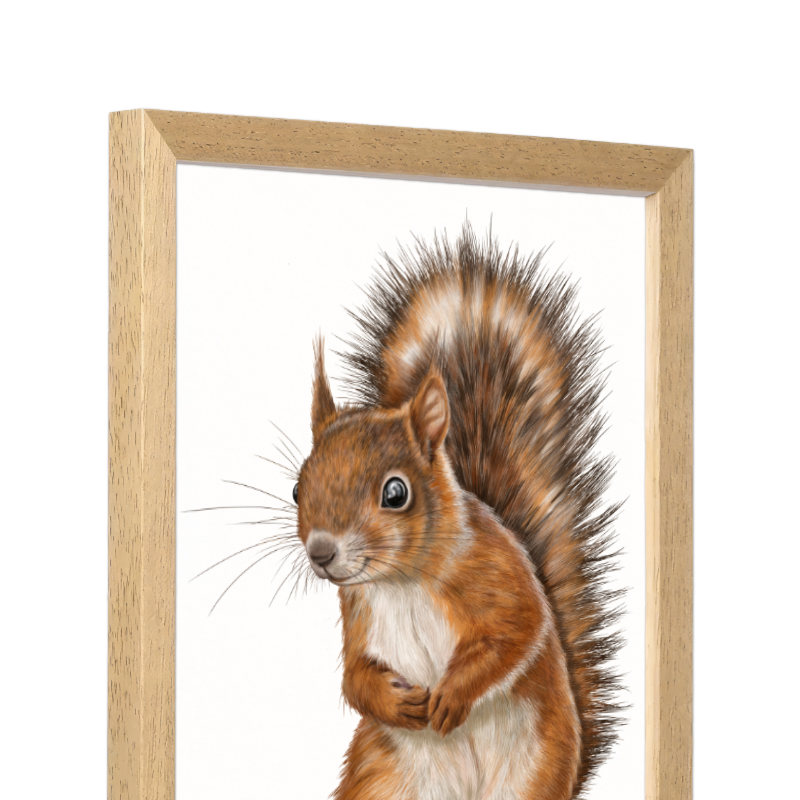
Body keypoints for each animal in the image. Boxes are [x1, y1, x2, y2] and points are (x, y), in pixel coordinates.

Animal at [293, 224, 624, 800]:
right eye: (296, 488)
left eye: (396, 493)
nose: (321, 553)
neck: (402, 582)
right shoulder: (358, 612)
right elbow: (354, 677)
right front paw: (394, 701)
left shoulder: (497, 573)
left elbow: (516, 633)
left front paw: (451, 695)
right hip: (383, 779)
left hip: (531, 773)